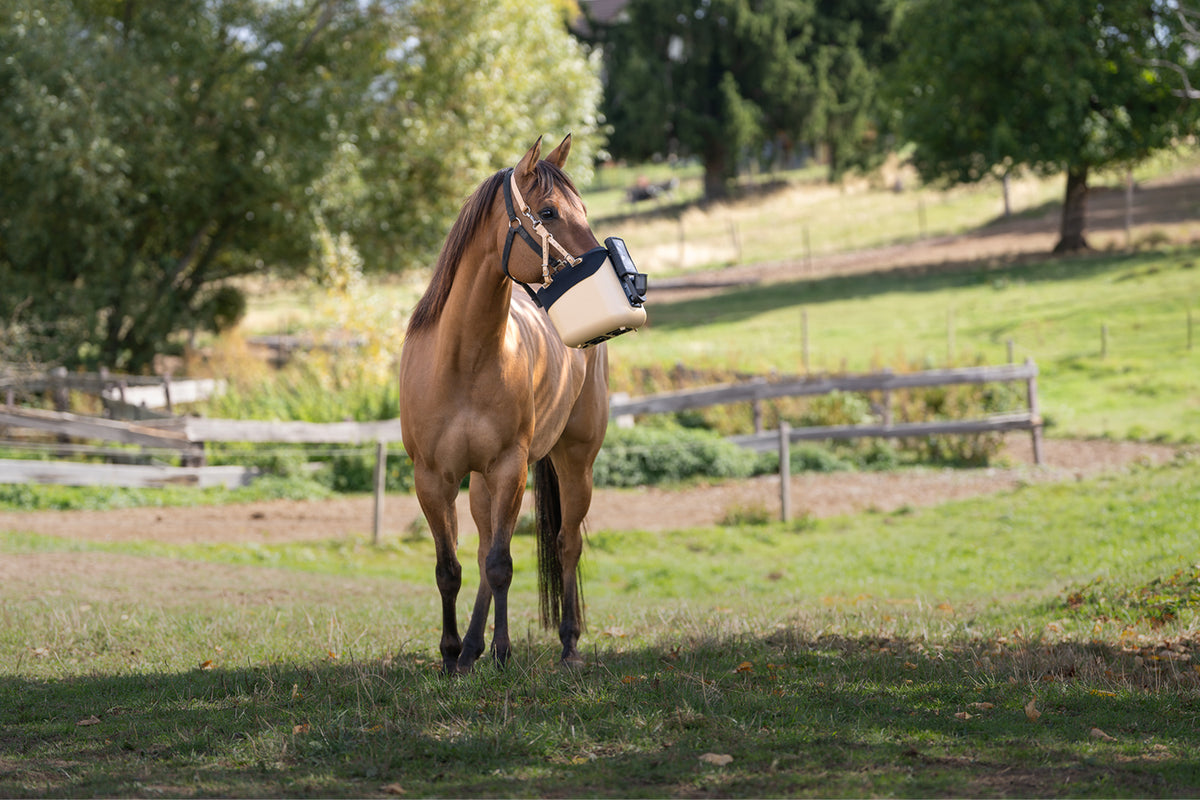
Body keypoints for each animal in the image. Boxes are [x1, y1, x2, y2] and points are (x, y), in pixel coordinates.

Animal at [398, 135, 609, 674]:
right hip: (480, 484)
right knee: (481, 551)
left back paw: (568, 645)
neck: (464, 360)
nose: (609, 273)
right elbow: (450, 568)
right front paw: (451, 654)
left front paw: (502, 651)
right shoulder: (433, 478)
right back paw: (471, 648)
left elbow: (501, 564)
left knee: (566, 544)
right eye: (550, 212)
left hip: (574, 462)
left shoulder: (510, 467)